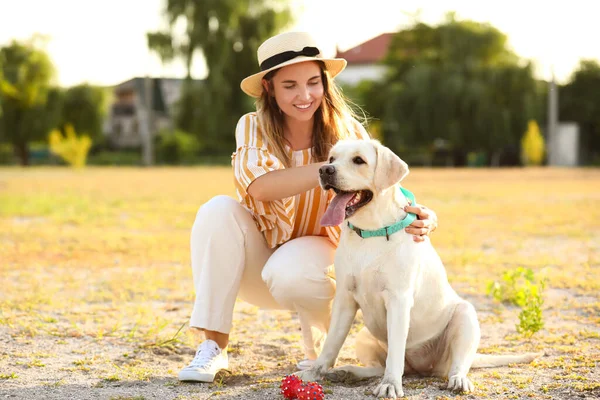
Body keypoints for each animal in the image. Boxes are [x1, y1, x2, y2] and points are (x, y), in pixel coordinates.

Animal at [298, 139, 540, 398]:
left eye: (358, 160)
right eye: (332, 159)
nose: (324, 170)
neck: (371, 233)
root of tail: (421, 368)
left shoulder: (398, 299)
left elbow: (395, 352)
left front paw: (390, 384)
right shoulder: (344, 297)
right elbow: (331, 344)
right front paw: (314, 373)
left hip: (465, 316)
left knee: (456, 364)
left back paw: (458, 380)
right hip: (364, 335)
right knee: (381, 366)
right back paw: (348, 372)